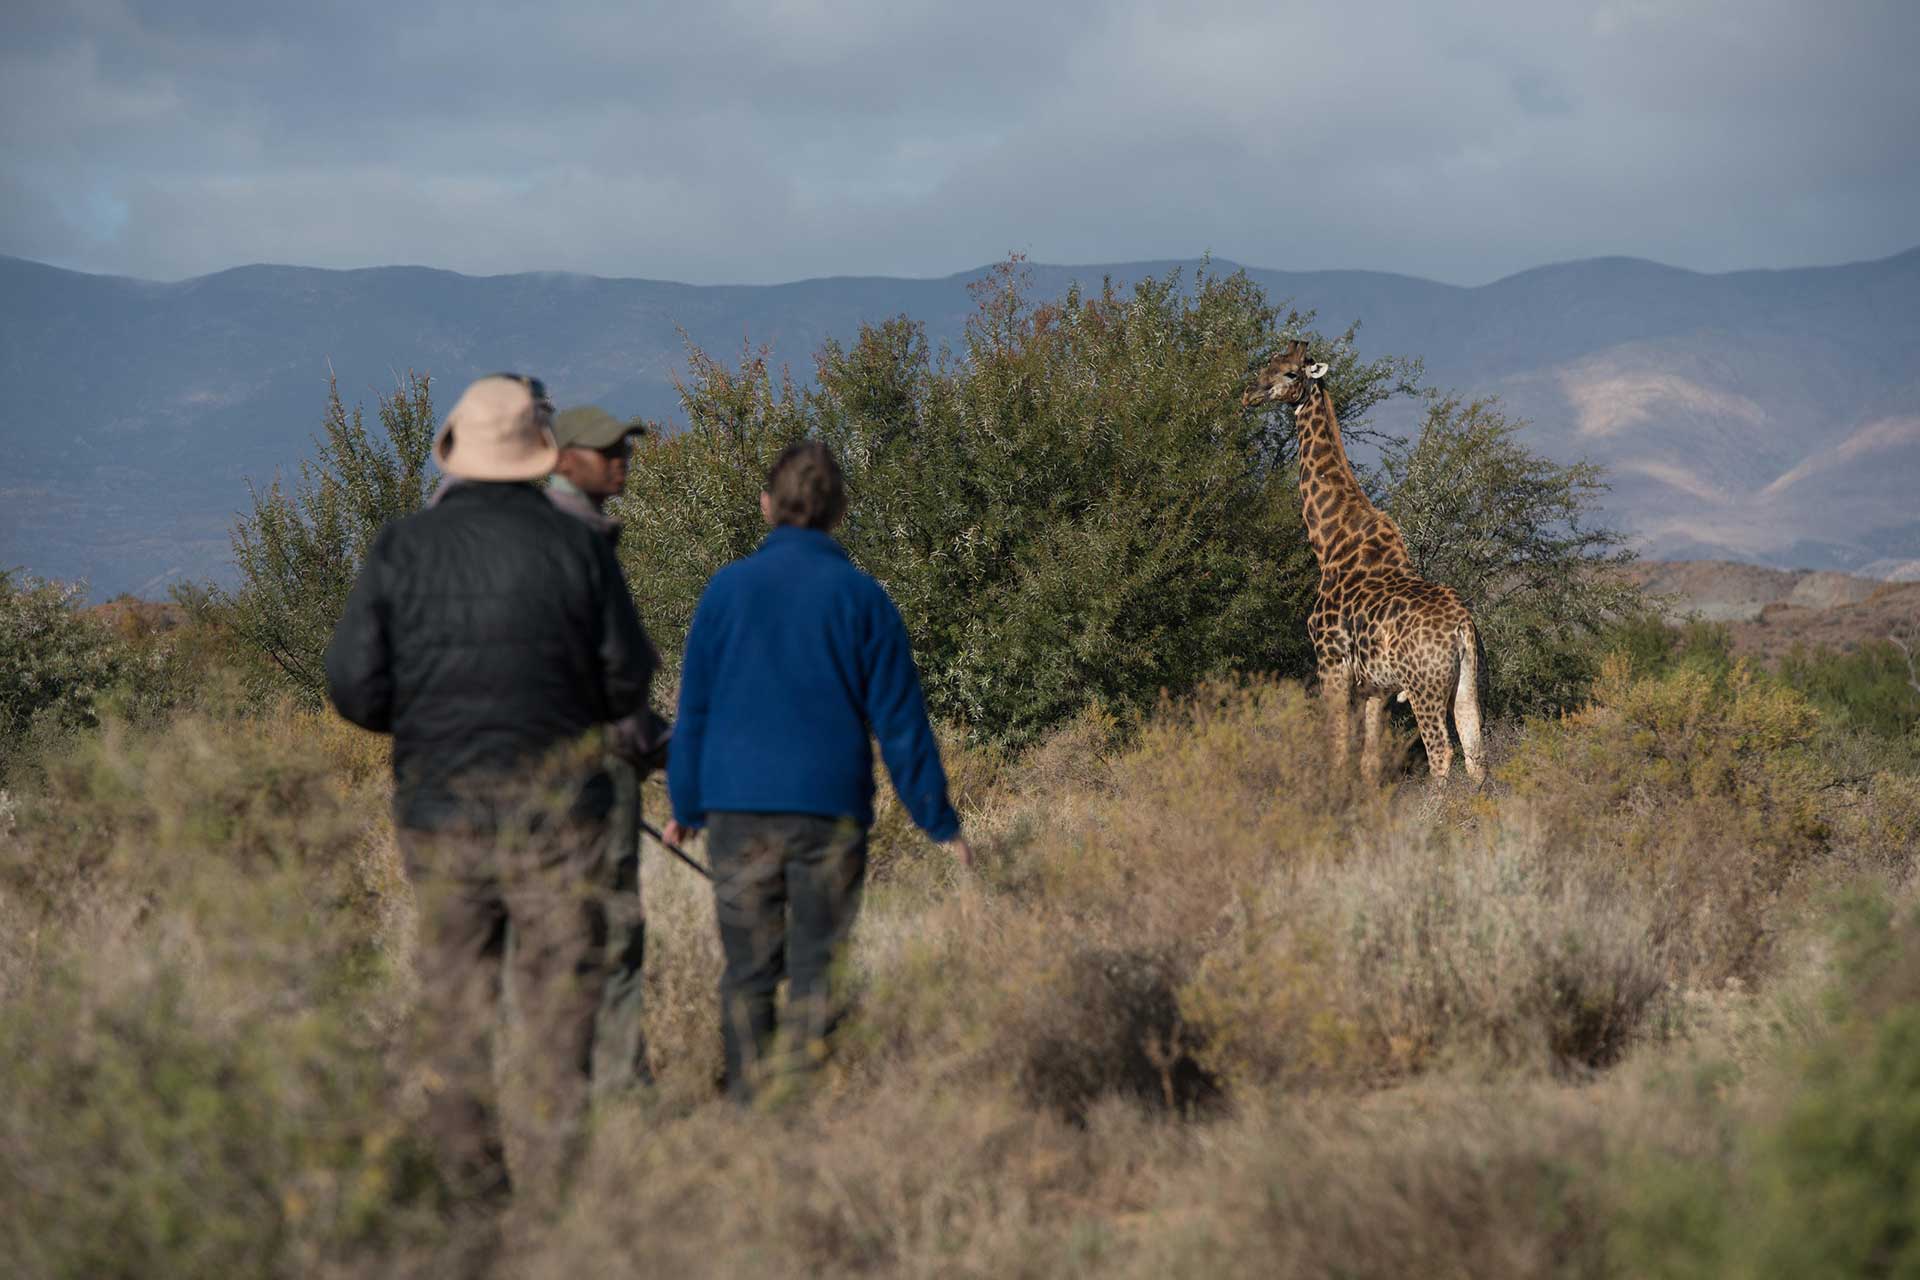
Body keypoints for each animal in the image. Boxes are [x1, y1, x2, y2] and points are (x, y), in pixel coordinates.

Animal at [1243, 340, 1486, 785]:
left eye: (1291, 373)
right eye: (1267, 363)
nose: (1249, 393)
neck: (1328, 542)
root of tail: (1461, 627)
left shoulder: (1330, 661)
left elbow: (1339, 750)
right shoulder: (1377, 686)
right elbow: (1370, 761)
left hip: (1423, 684)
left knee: (1441, 752)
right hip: (1465, 679)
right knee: (1476, 747)